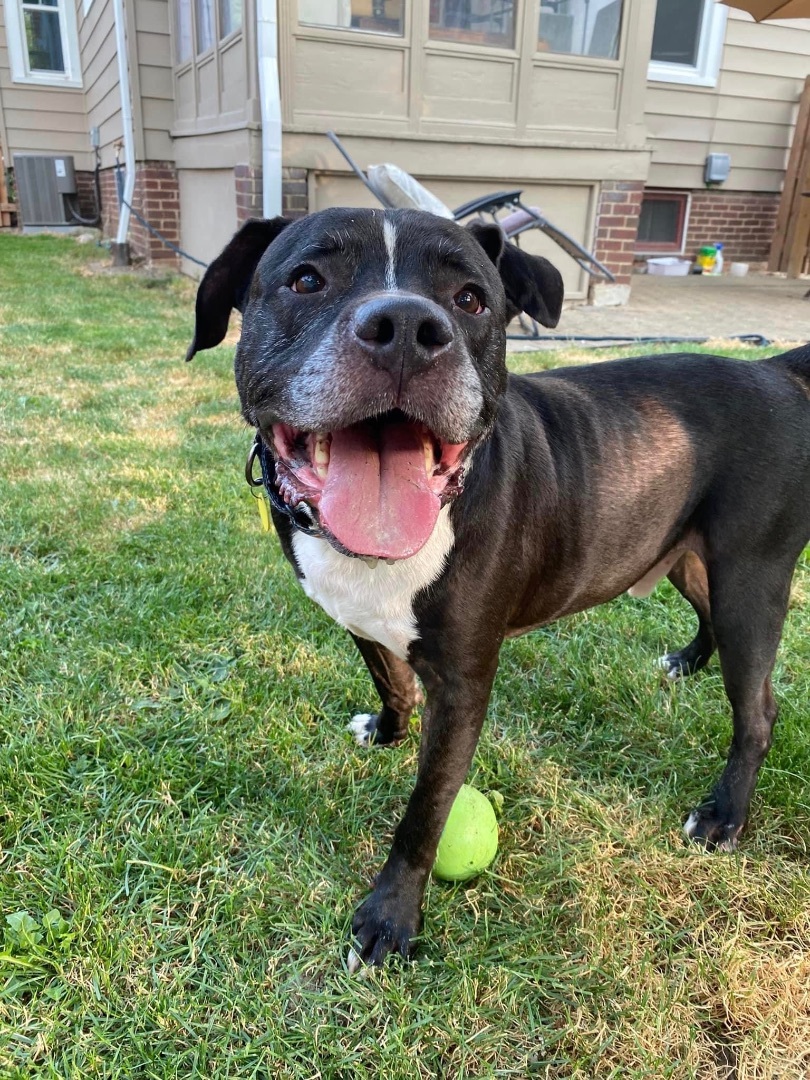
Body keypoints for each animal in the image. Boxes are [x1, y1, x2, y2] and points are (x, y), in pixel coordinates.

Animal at [189, 206, 810, 967]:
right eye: (306, 280)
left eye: (470, 300)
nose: (405, 325)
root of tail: (774, 373)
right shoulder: (359, 618)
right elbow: (389, 679)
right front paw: (387, 729)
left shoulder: (462, 684)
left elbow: (427, 809)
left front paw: (389, 919)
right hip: (687, 557)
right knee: (709, 620)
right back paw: (687, 661)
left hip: (751, 577)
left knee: (758, 710)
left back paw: (723, 816)